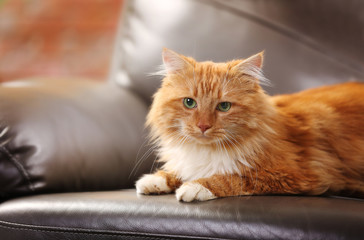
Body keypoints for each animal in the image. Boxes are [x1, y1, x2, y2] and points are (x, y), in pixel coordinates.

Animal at [135, 47, 364, 202]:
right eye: (189, 103)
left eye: (224, 106)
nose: (203, 126)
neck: (206, 150)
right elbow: (176, 170)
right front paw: (153, 180)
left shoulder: (289, 175)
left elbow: (230, 178)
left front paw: (195, 187)